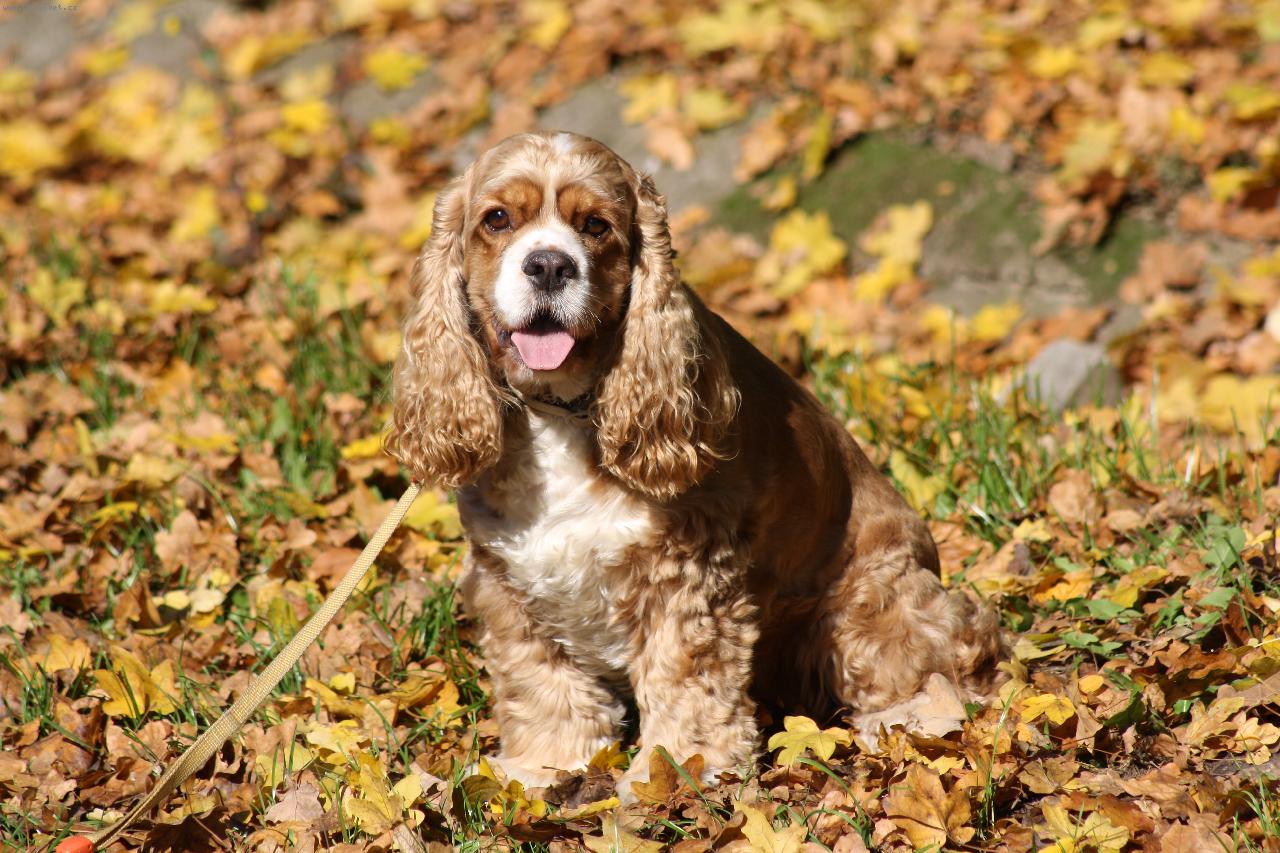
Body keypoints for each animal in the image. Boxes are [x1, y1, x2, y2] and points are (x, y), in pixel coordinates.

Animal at [385, 131, 1003, 795]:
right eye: (496, 219)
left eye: (596, 225)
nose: (550, 264)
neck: (563, 410)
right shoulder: (509, 579)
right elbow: (539, 680)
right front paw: (542, 764)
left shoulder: (689, 574)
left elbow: (685, 681)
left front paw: (676, 771)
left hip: (866, 608)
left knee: (954, 653)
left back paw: (919, 721)